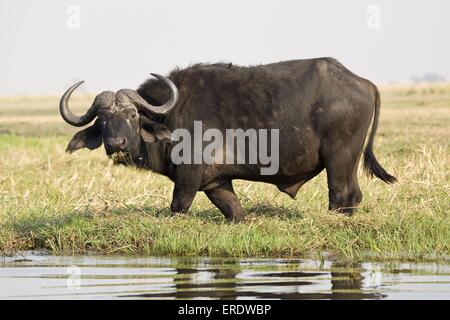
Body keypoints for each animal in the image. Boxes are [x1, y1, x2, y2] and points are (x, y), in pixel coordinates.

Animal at [59, 58, 398, 221]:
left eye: (131, 115)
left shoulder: (188, 179)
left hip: (339, 159)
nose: (116, 144)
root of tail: (363, 82)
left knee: (341, 195)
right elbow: (235, 211)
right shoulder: (216, 183)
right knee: (354, 195)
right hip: (348, 162)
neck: (172, 115)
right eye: (103, 119)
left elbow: (178, 206)